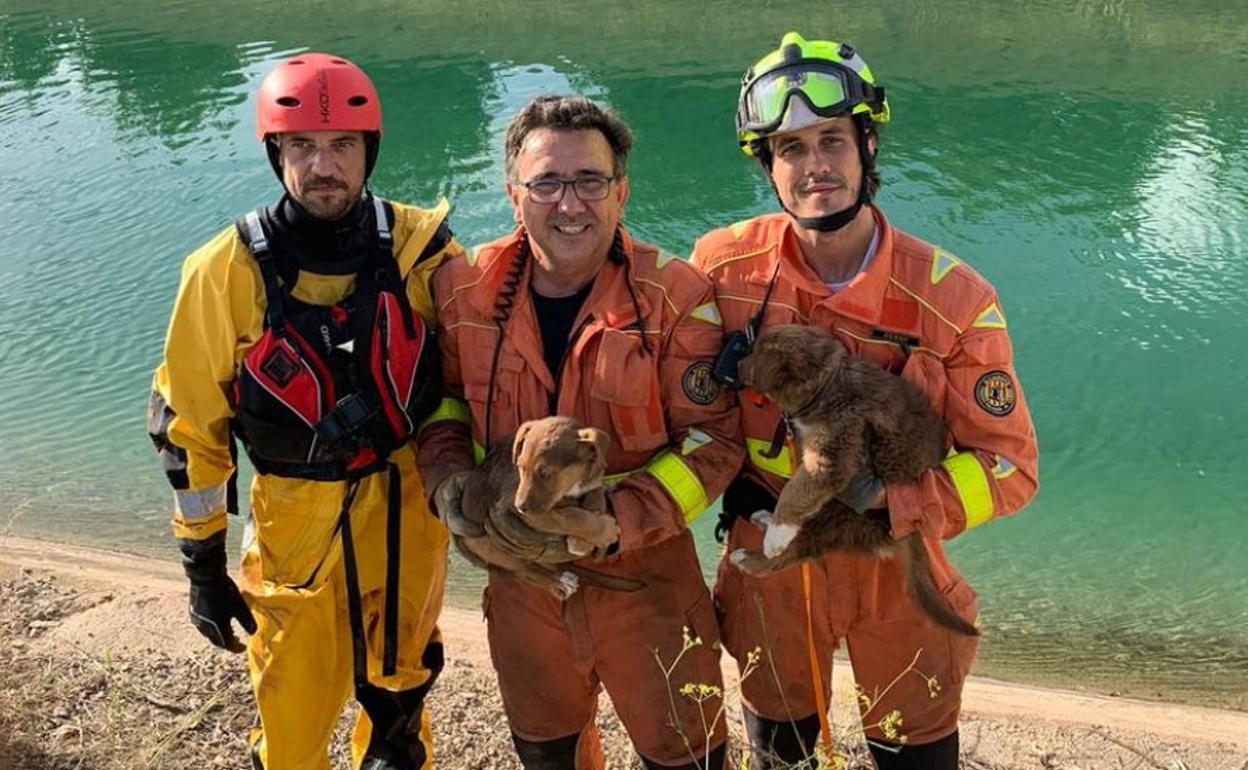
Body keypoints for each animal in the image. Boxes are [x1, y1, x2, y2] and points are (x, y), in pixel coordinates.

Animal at [456, 416, 643, 596]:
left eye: (545, 474)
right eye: (520, 467)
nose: (520, 506)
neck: (572, 484)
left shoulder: (593, 483)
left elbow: (597, 497)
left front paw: (590, 537)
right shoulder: (516, 506)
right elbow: (565, 515)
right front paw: (597, 533)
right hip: (492, 546)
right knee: (525, 571)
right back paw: (559, 582)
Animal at [728, 324, 973, 636]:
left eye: (756, 355)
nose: (736, 365)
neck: (830, 383)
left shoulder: (833, 453)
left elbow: (796, 490)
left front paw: (777, 532)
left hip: (841, 514)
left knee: (791, 553)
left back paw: (757, 550)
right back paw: (765, 520)